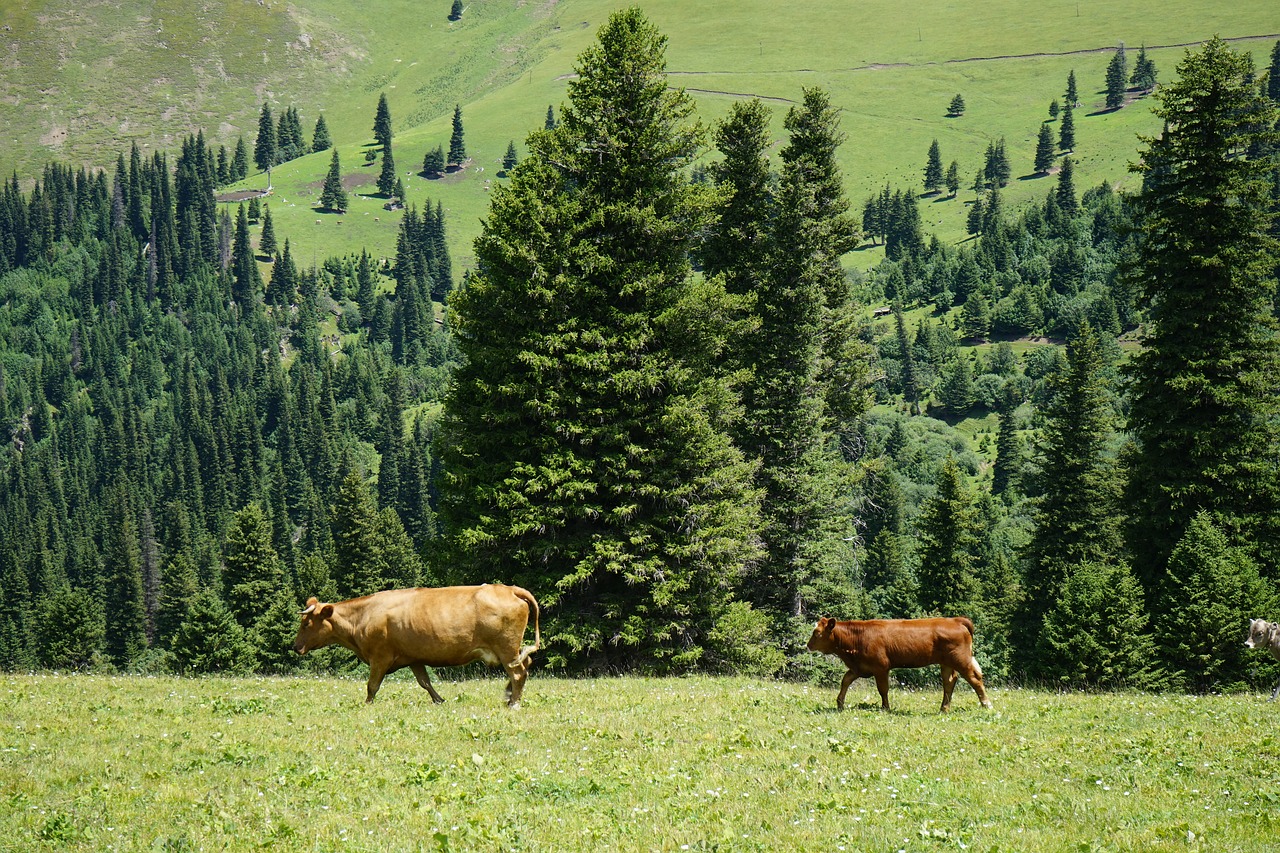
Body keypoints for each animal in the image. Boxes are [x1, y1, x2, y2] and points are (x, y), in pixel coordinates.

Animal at [293, 581, 540, 706]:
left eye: (306, 623)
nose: (295, 647)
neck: (363, 616)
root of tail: (508, 588)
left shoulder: (379, 657)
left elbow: (372, 685)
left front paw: (367, 704)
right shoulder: (414, 658)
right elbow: (425, 682)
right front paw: (439, 700)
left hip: (506, 648)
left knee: (518, 672)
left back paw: (513, 702)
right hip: (512, 649)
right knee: (525, 666)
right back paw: (509, 695)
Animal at [803, 612, 993, 712]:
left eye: (817, 633)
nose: (808, 645)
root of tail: (955, 620)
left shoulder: (880, 667)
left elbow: (883, 689)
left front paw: (885, 708)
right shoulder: (859, 667)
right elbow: (845, 681)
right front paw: (840, 703)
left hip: (961, 659)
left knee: (974, 679)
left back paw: (986, 704)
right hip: (946, 662)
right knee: (949, 682)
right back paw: (943, 709)